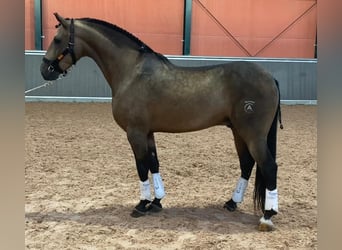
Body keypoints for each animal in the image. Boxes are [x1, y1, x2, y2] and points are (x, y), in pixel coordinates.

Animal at [40, 13, 284, 232]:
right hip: (238, 132)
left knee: (268, 166)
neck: (132, 72)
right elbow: (154, 164)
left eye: (57, 39)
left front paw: (141, 205)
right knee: (247, 164)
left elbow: (141, 167)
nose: (45, 70)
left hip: (252, 134)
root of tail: (270, 77)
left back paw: (267, 216)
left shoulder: (135, 133)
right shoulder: (148, 133)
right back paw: (232, 203)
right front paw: (156, 202)